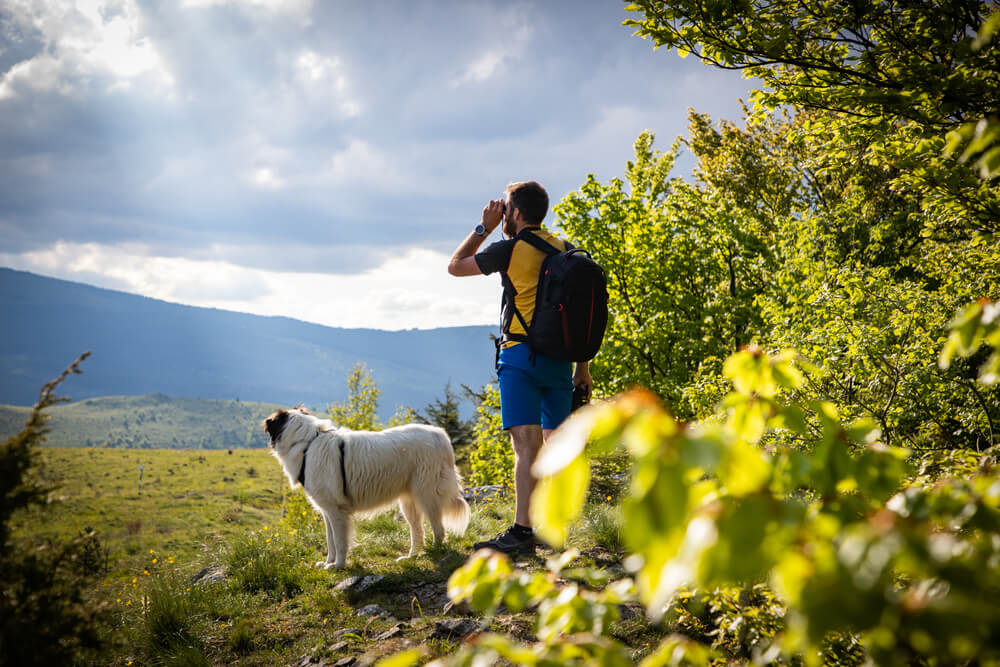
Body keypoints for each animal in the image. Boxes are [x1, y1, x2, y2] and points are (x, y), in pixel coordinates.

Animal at [264, 408, 470, 568]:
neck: (308, 443)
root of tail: (441, 435)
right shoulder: (327, 510)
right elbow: (330, 541)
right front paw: (328, 563)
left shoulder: (337, 510)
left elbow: (339, 542)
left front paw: (338, 566)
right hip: (408, 502)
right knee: (418, 531)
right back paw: (411, 557)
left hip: (426, 495)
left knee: (438, 529)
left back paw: (434, 552)